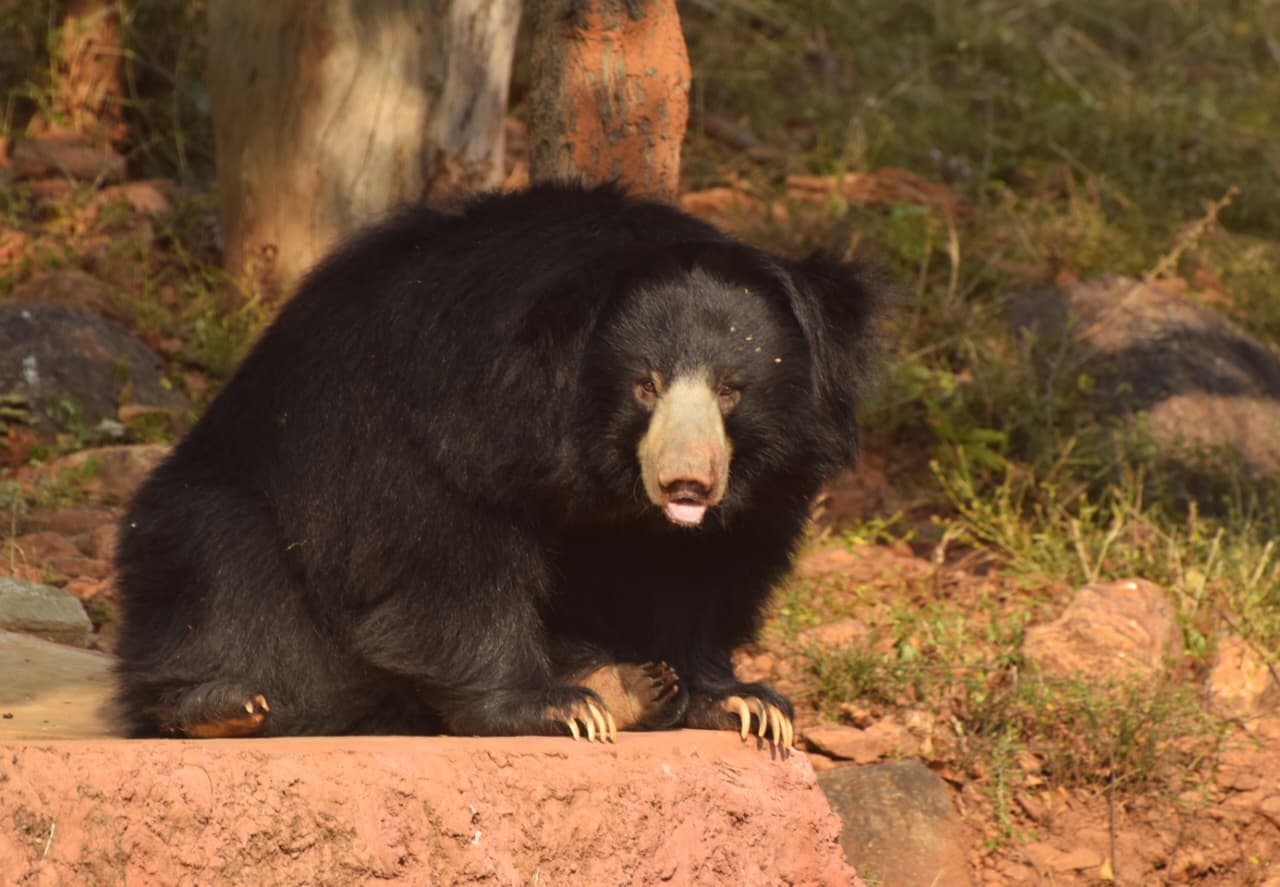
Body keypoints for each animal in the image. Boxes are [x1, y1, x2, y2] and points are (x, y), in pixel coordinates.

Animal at [112, 183, 882, 748]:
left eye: (731, 389)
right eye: (646, 384)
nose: (685, 483)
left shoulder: (758, 486)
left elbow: (703, 571)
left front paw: (744, 702)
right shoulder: (448, 414)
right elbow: (450, 552)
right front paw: (549, 707)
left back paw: (630, 685)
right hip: (221, 508)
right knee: (220, 563)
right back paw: (221, 704)